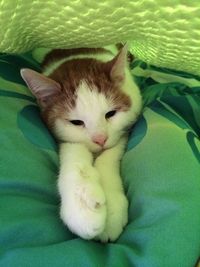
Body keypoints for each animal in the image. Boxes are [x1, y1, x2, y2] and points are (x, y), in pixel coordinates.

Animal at [20, 44, 142, 243]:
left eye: (111, 114)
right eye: (76, 122)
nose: (100, 139)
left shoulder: (126, 128)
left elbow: (109, 156)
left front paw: (112, 211)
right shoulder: (66, 138)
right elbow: (74, 157)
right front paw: (82, 205)